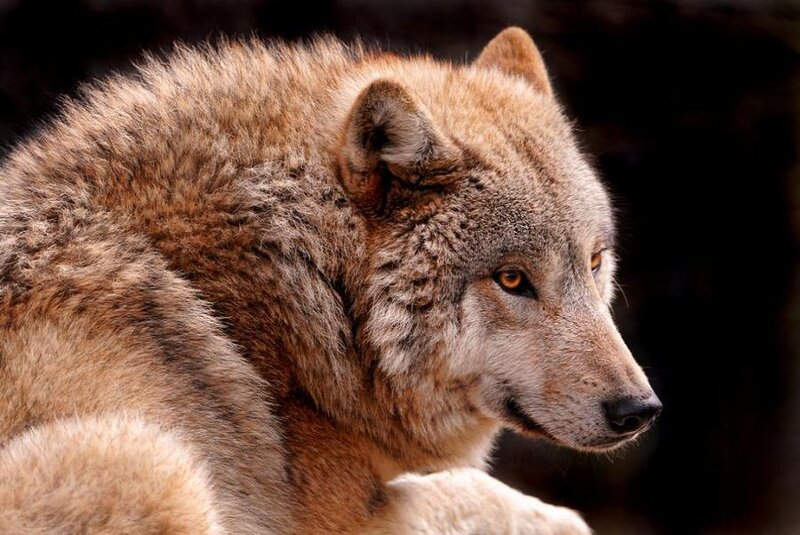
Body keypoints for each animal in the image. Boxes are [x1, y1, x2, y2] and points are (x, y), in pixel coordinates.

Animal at [0, 27, 661, 533]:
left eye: (594, 261)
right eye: (513, 278)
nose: (639, 409)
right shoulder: (334, 515)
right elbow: (484, 498)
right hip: (140, 459)